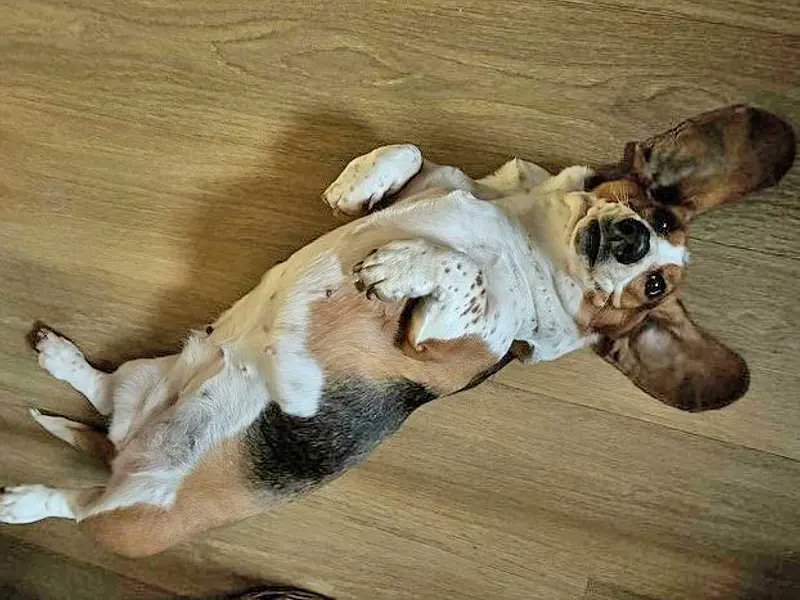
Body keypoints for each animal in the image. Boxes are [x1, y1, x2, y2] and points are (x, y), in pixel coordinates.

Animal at [1, 104, 792, 556]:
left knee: (74, 504)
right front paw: (354, 184)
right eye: (656, 216)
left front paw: (403, 264)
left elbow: (465, 278)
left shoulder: (443, 343)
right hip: (142, 382)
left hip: (128, 512)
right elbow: (408, 152)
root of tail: (125, 449)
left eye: (657, 286)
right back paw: (62, 357)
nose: (634, 242)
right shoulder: (438, 180)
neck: (532, 233)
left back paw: (22, 499)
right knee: (102, 390)